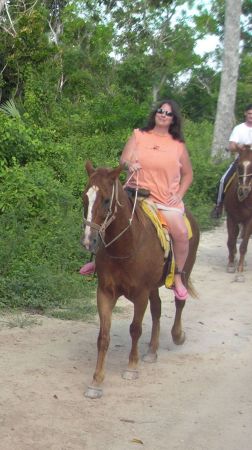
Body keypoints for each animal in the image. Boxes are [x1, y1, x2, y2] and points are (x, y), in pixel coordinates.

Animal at [80, 161, 199, 398]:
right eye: (85, 198)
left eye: (106, 200)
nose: (89, 240)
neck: (126, 244)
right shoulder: (105, 292)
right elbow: (103, 336)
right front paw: (96, 381)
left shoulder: (141, 293)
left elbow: (135, 329)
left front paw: (132, 367)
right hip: (153, 287)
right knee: (157, 309)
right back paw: (152, 350)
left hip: (184, 271)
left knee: (179, 302)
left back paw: (177, 335)